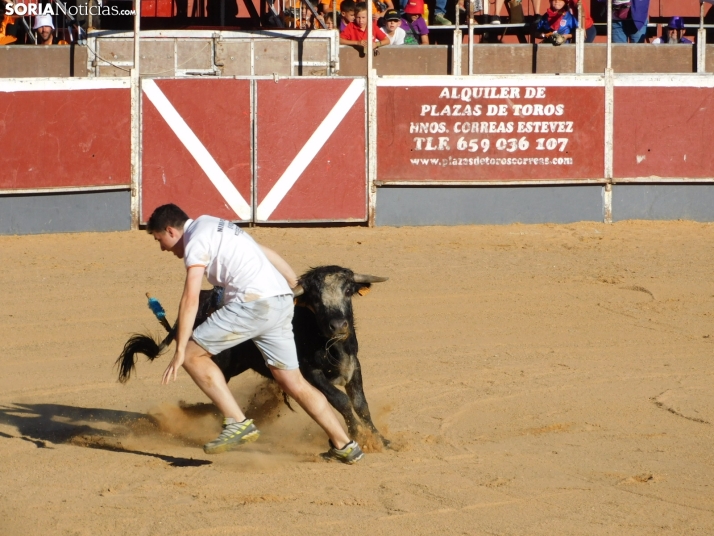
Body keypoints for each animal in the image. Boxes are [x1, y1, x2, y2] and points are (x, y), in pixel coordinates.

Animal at [115, 266, 390, 446]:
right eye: (314, 297)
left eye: (348, 290)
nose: (338, 326)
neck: (329, 343)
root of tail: (203, 300)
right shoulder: (310, 372)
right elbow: (340, 400)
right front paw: (361, 437)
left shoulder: (354, 365)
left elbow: (361, 404)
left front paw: (380, 439)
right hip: (220, 363)